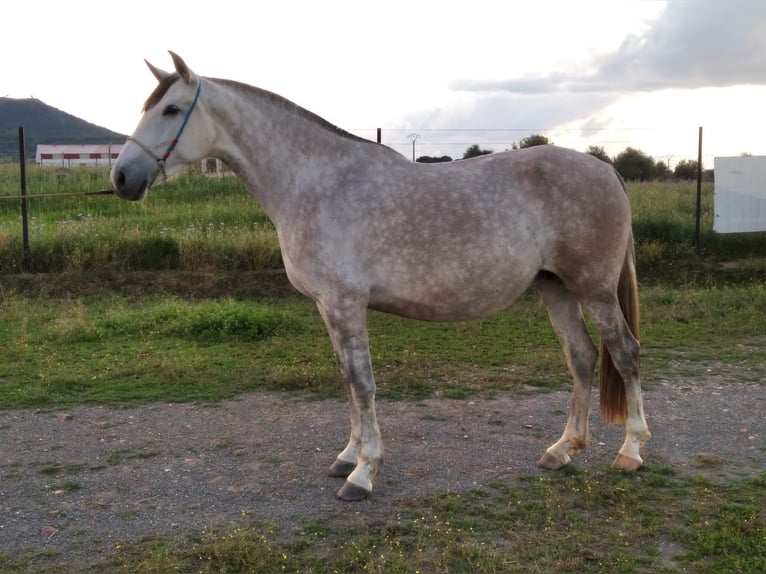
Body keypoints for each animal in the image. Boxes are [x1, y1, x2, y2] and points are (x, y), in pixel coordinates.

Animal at [112, 54, 656, 504]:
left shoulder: (345, 304)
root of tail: (606, 170)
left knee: (625, 353)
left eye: (171, 109)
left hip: (594, 289)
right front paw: (347, 457)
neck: (315, 182)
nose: (121, 177)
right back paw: (563, 449)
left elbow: (362, 382)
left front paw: (363, 473)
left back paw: (630, 452)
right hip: (556, 287)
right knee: (582, 358)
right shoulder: (328, 307)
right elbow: (346, 380)